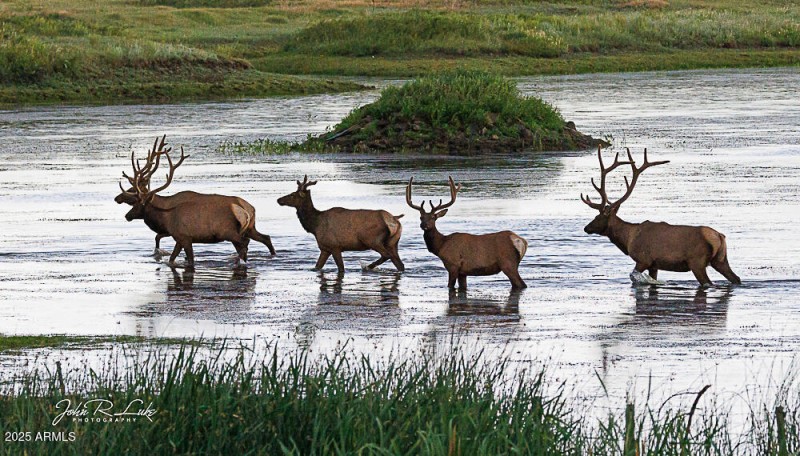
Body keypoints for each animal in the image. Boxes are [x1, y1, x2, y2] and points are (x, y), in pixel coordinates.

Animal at [118, 138, 275, 269]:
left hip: (228, 231)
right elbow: (172, 258)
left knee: (245, 244)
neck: (166, 218)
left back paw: (237, 262)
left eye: (138, 202)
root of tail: (246, 210)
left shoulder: (185, 237)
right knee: (264, 238)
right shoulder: (179, 238)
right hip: (249, 228)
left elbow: (187, 259)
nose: (127, 215)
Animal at [581, 147, 741, 287]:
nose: (586, 228)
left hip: (697, 262)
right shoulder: (654, 264)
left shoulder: (643, 259)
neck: (628, 239)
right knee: (736, 278)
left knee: (708, 282)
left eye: (598, 217)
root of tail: (719, 237)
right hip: (721, 260)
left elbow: (633, 276)